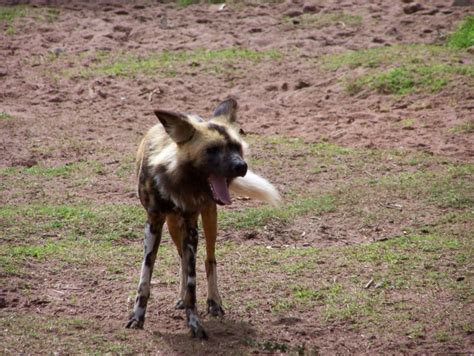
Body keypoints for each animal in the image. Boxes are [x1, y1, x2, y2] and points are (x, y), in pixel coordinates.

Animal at [127, 98, 282, 340]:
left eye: (236, 147)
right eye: (211, 150)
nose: (241, 166)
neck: (176, 178)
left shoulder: (192, 224)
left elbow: (193, 281)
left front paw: (194, 324)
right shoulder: (154, 222)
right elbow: (145, 276)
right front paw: (137, 317)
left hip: (208, 218)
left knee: (209, 259)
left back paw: (213, 302)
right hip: (173, 225)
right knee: (182, 258)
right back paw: (182, 298)